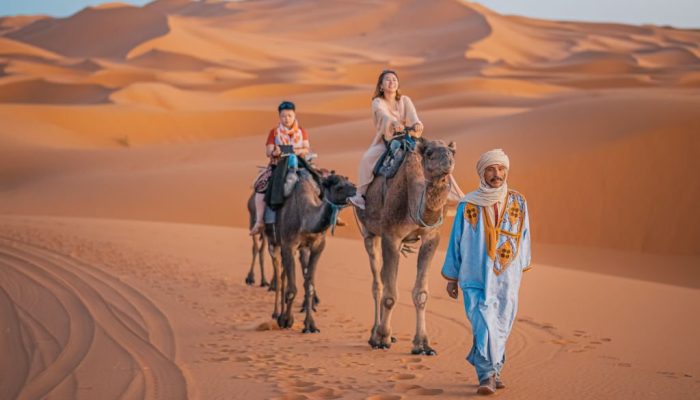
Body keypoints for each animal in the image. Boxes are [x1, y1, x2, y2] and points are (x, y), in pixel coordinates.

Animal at [276, 170, 358, 332]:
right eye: (339, 187)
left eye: (351, 182)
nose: (357, 191)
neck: (305, 219)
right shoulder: (289, 245)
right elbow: (292, 289)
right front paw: (287, 320)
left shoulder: (318, 246)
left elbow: (309, 286)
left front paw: (310, 325)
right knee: (283, 277)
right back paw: (278, 315)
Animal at [358, 138, 456, 356]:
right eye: (429, 153)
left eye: (452, 152)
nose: (447, 161)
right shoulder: (391, 235)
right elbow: (390, 296)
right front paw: (382, 338)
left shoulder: (431, 237)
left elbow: (421, 294)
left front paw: (423, 345)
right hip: (369, 232)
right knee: (378, 284)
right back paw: (374, 334)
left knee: (383, 276)